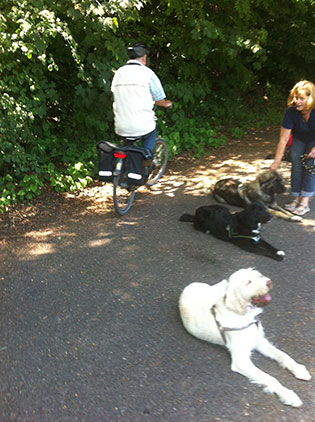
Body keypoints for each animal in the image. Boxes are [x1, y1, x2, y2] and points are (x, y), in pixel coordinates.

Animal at [179, 268, 312, 408]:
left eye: (259, 275)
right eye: (248, 282)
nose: (269, 282)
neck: (243, 314)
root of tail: (189, 286)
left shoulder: (259, 341)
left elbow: (283, 355)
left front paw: (298, 369)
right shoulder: (241, 361)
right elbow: (270, 378)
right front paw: (288, 395)